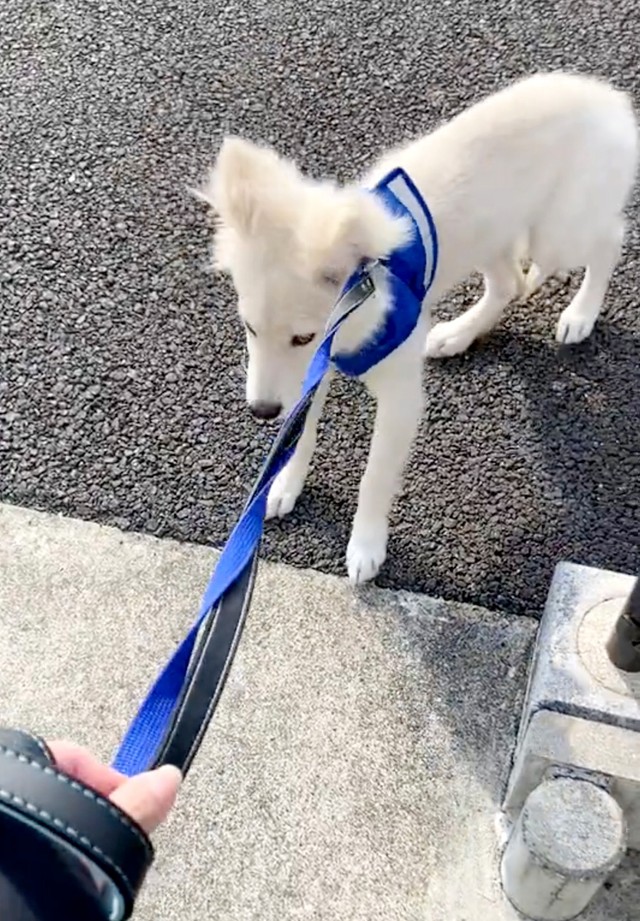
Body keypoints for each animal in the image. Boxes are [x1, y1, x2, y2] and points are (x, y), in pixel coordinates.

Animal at [198, 75, 636, 584]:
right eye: (248, 328)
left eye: (302, 337)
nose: (261, 411)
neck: (355, 312)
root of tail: (609, 99)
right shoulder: (309, 375)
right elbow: (300, 433)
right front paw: (284, 484)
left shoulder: (398, 398)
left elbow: (374, 476)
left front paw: (365, 546)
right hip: (494, 234)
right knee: (508, 283)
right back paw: (458, 334)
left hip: (558, 234)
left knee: (608, 241)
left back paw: (580, 314)